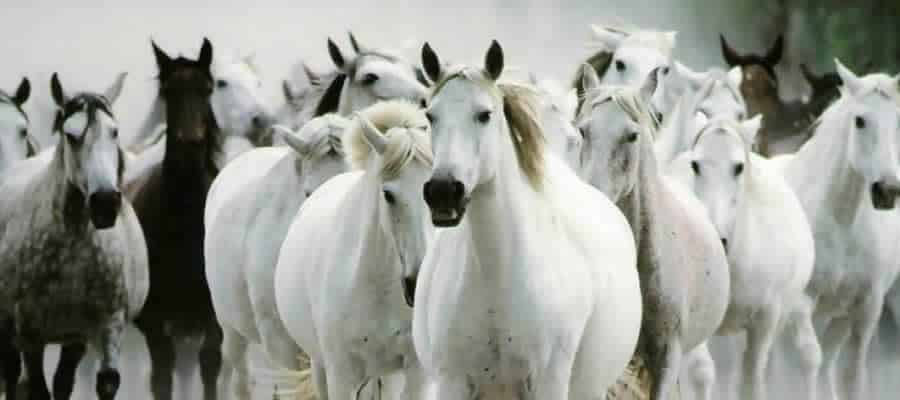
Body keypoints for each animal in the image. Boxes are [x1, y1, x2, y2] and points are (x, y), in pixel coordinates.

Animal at [0, 72, 148, 400]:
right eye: (70, 135)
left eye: (114, 132)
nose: (105, 202)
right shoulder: (30, 333)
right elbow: (36, 388)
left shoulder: (108, 326)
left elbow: (106, 382)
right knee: (12, 374)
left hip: (73, 337)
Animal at [125, 38, 225, 400]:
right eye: (168, 91)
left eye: (208, 88)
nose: (190, 141)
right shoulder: (154, 323)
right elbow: (161, 378)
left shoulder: (213, 319)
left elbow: (210, 367)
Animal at [413, 40, 640, 399]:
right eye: (430, 115)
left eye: (485, 115)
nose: (443, 191)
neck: (498, 278)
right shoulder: (452, 381)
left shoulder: (548, 382)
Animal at [672, 115, 821, 400]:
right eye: (695, 165)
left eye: (739, 167)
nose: (716, 241)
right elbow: (700, 372)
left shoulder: (765, 321)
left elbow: (751, 379)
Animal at [772, 60, 900, 400]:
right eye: (860, 121)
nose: (887, 190)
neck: (842, 221)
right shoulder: (801, 304)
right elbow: (808, 361)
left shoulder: (866, 307)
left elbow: (851, 373)